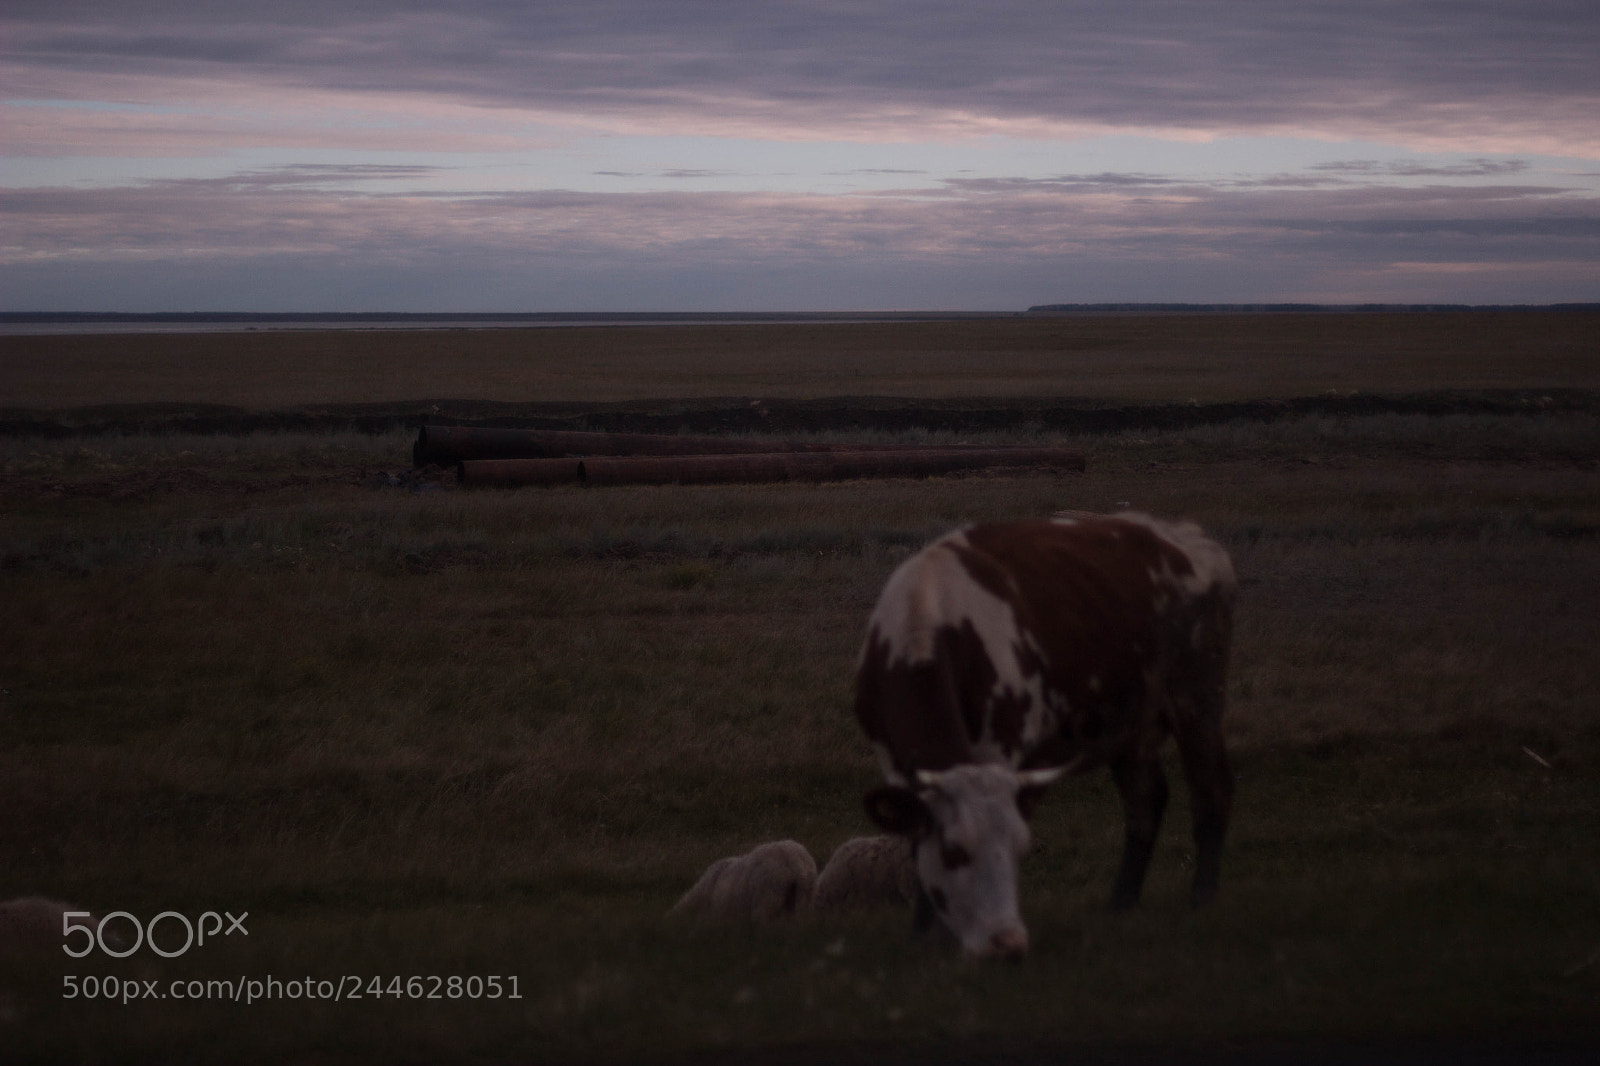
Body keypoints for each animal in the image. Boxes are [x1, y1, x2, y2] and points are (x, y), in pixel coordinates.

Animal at [854, 513, 1235, 958]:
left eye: (1020, 850)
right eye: (954, 851)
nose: (1006, 943)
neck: (926, 623)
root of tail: (1187, 534)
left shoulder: (1002, 750)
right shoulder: (896, 762)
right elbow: (917, 843)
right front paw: (924, 932)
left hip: (1199, 699)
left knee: (1211, 790)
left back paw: (1202, 896)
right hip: (1129, 727)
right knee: (1146, 801)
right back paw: (1121, 904)